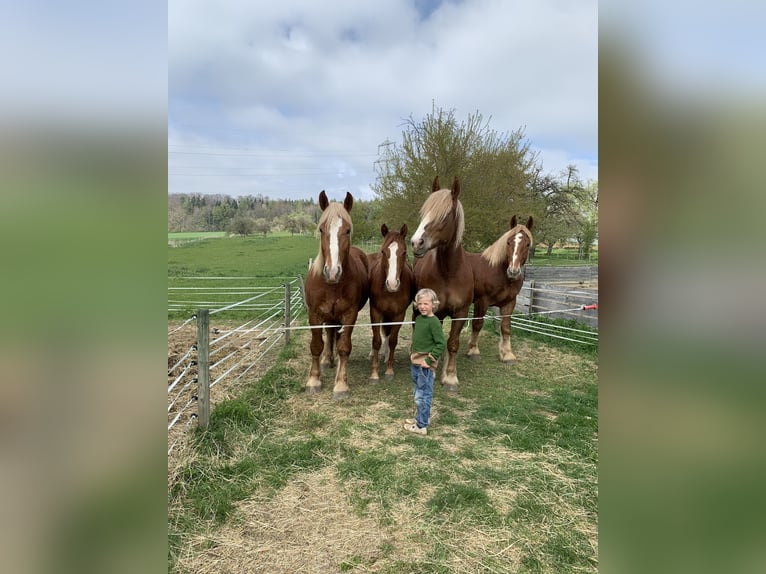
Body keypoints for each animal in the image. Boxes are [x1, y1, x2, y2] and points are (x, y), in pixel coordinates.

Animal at [304, 191, 370, 398]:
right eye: (321, 230)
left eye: (347, 230)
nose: (332, 272)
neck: (332, 285)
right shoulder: (314, 314)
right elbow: (316, 345)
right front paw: (313, 380)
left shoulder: (350, 314)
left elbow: (344, 347)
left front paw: (341, 384)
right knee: (329, 333)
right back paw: (327, 360)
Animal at [368, 223, 416, 384]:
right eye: (384, 251)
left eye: (404, 252)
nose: (393, 284)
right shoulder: (375, 312)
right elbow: (376, 340)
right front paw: (374, 374)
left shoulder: (399, 314)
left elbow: (393, 340)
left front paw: (389, 370)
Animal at [414, 176, 474, 392]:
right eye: (423, 212)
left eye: (445, 215)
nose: (416, 242)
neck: (449, 272)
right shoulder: (436, 312)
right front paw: (433, 369)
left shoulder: (461, 313)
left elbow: (453, 343)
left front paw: (450, 376)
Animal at [464, 216, 536, 364]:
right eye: (508, 242)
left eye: (527, 244)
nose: (513, 271)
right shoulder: (482, 302)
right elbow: (477, 324)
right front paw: (473, 350)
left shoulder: (509, 303)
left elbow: (506, 327)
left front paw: (507, 354)